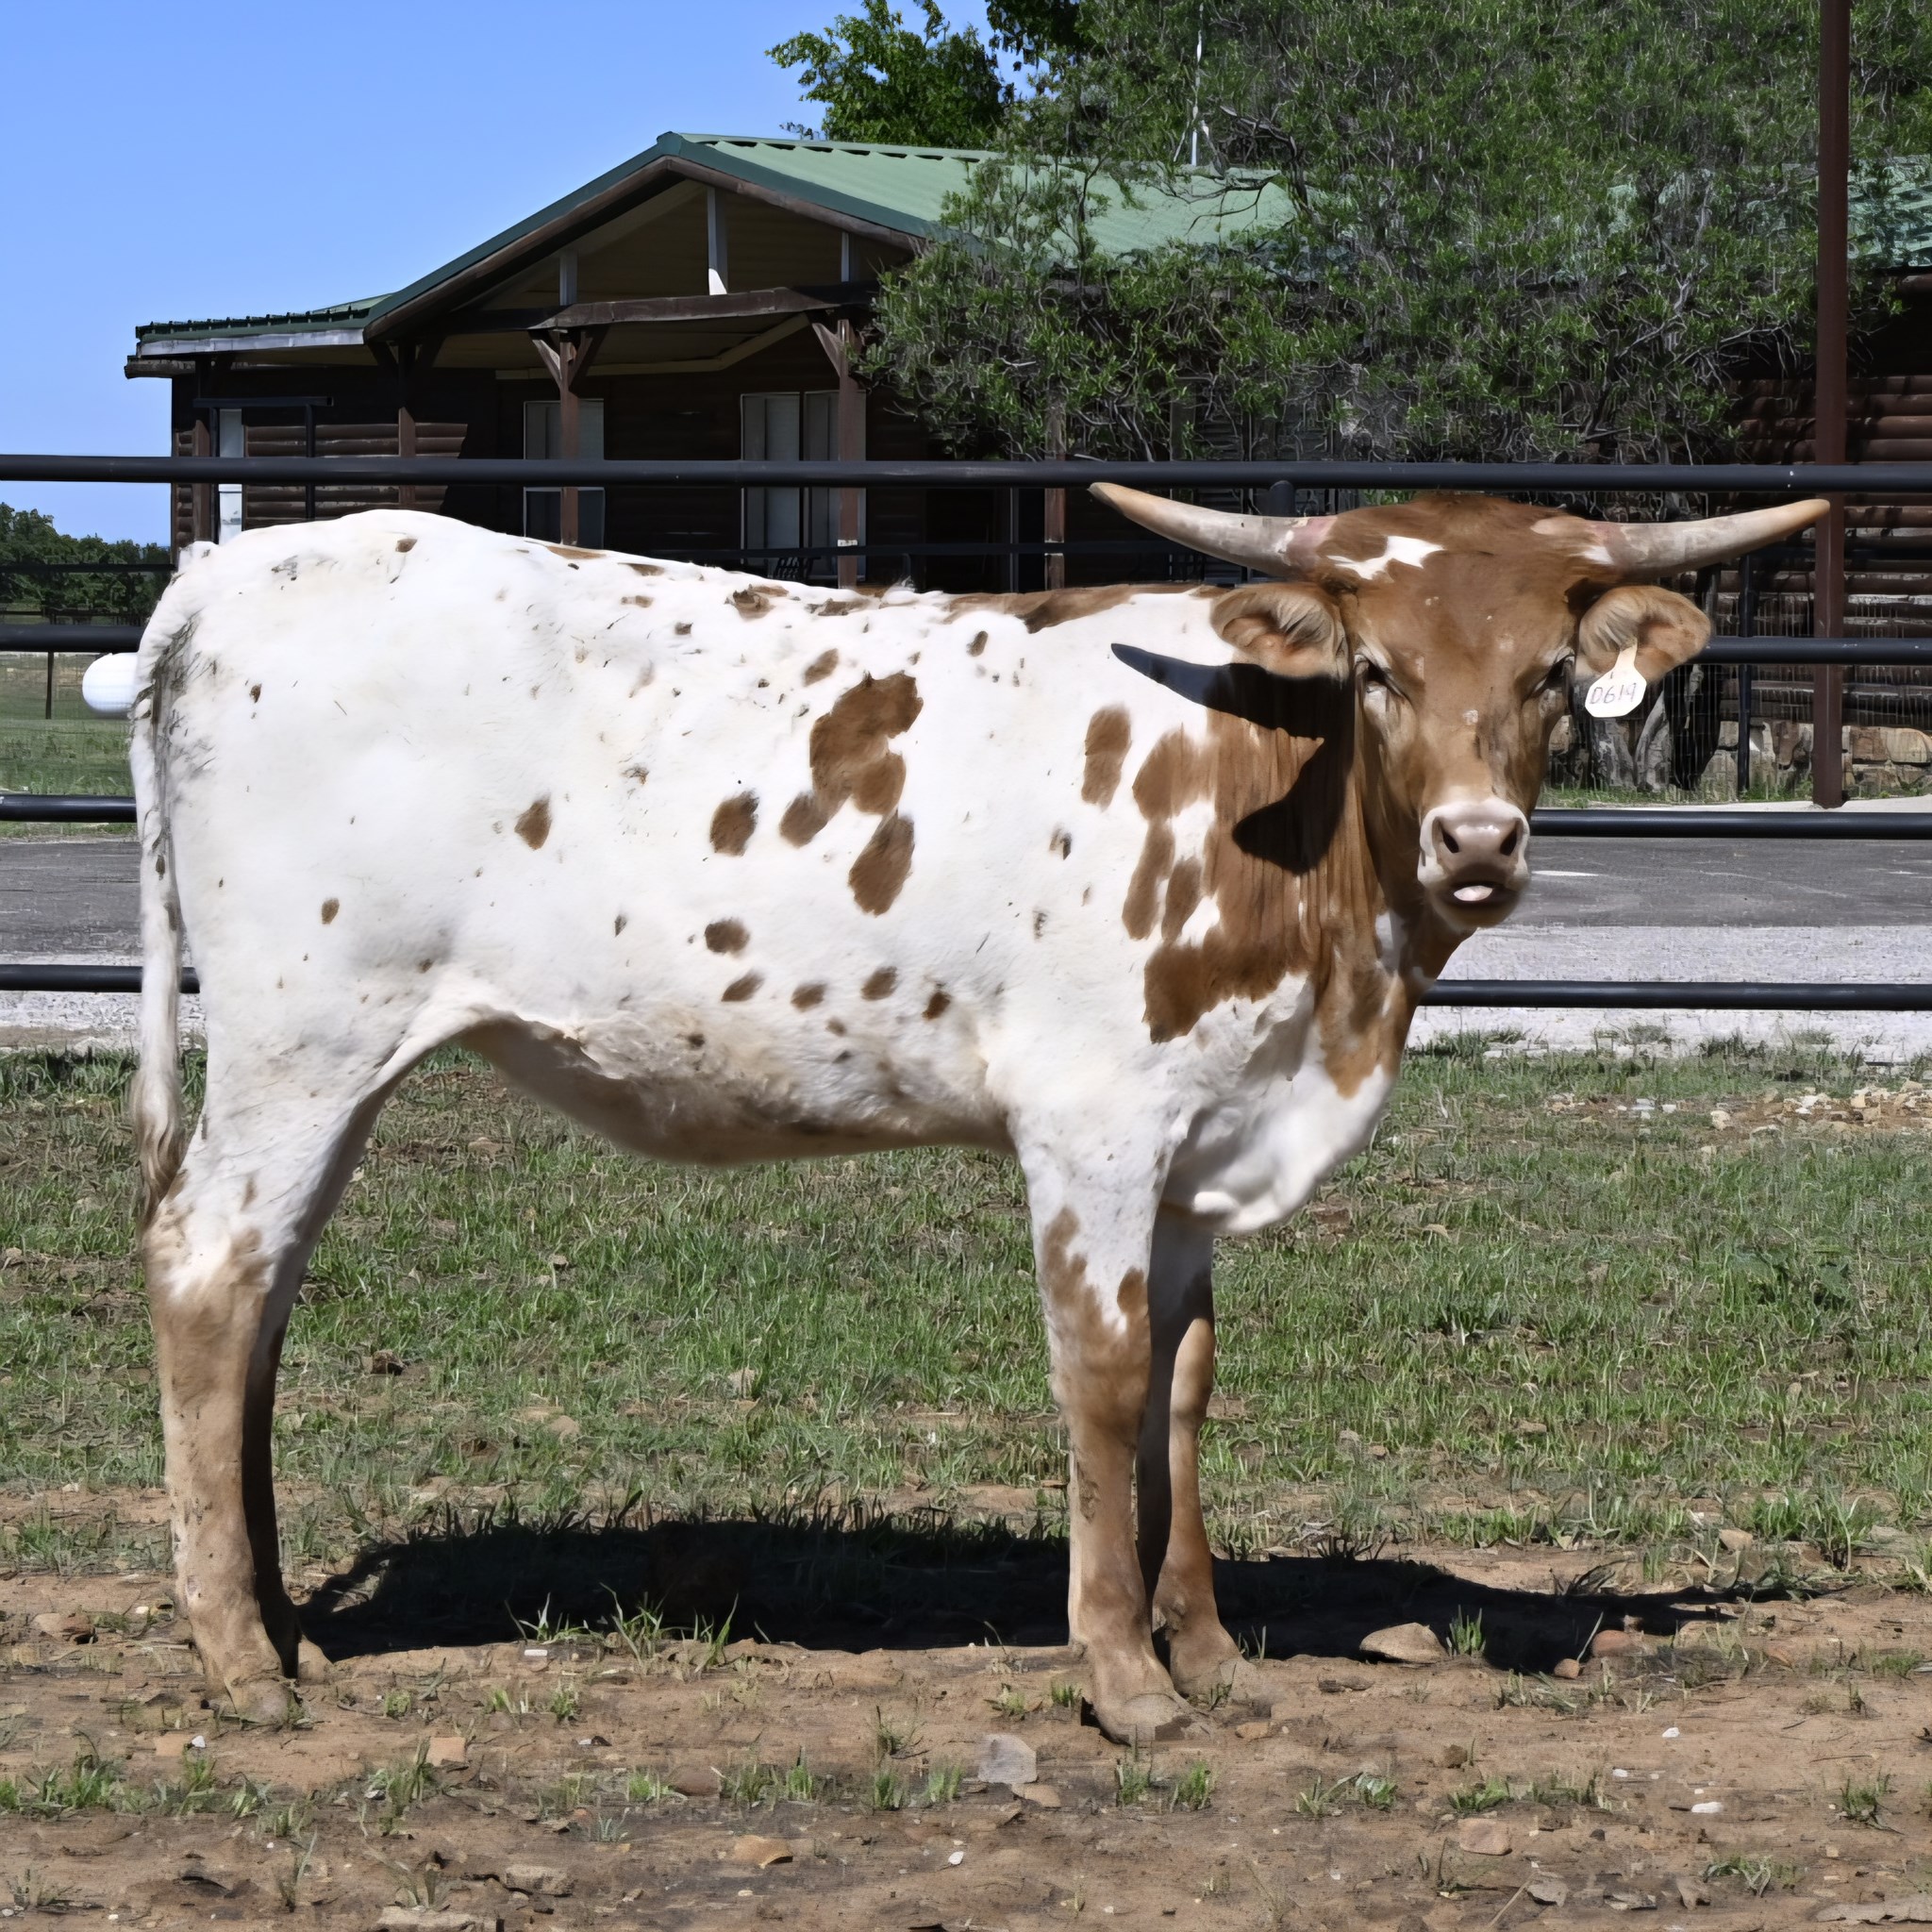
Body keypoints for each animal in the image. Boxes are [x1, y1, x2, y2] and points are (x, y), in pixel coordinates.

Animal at [129, 486, 1824, 1742]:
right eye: (1377, 674)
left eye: (1547, 676)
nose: (1479, 842)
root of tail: (228, 568)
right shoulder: (1093, 1124)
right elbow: (1103, 1379)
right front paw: (1125, 1677)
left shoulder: (1200, 1149)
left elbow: (1184, 1390)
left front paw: (1211, 1652)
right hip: (302, 1038)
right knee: (209, 1274)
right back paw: (239, 1658)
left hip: (334, 1063)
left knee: (263, 1302)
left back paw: (284, 1623)